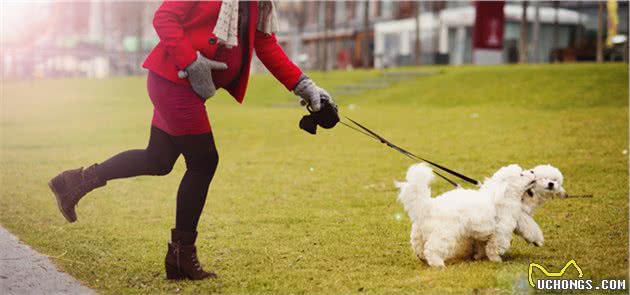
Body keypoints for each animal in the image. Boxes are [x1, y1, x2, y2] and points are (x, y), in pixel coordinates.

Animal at [398, 164, 564, 268]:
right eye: (521, 174)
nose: (532, 171)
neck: (503, 195)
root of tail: (428, 206)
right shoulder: (501, 230)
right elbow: (495, 246)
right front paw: (496, 259)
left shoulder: (480, 232)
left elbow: (481, 245)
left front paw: (479, 256)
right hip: (444, 234)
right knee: (433, 249)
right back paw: (438, 264)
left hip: (418, 234)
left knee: (420, 248)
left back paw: (423, 258)